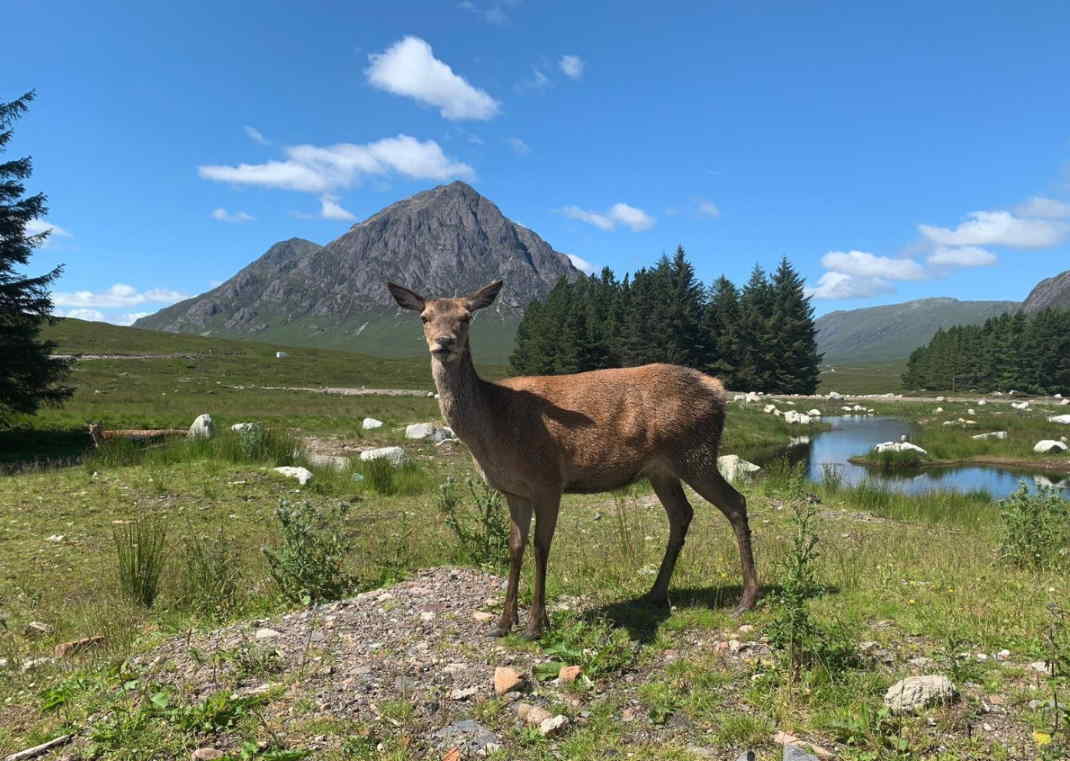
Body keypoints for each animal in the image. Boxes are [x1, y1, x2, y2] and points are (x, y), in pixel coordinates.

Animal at [389, 278, 757, 637]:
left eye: (466, 317)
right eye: (425, 317)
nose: (444, 343)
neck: (495, 424)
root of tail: (718, 390)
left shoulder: (548, 480)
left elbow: (541, 545)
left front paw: (536, 625)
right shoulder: (513, 490)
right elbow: (515, 546)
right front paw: (504, 623)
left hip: (696, 453)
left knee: (735, 503)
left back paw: (747, 598)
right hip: (661, 470)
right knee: (682, 513)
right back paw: (655, 593)